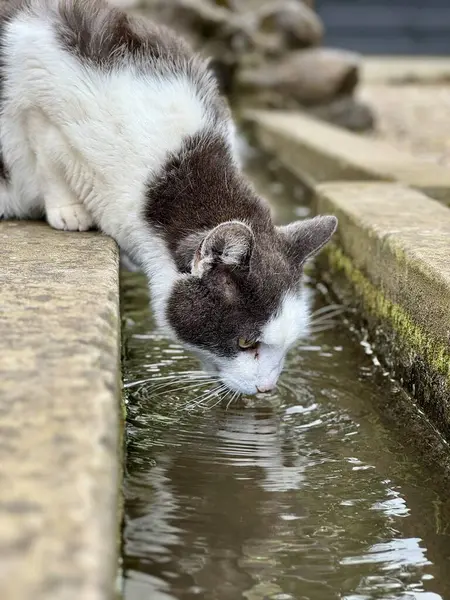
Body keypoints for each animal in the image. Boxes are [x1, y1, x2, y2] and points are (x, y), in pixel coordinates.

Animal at [0, 0, 338, 396]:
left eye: (289, 344)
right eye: (246, 343)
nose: (267, 388)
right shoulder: (35, 75)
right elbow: (48, 156)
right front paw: (69, 210)